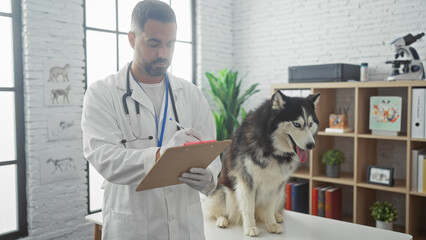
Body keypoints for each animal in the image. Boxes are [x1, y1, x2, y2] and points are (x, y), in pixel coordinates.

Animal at [203, 91, 320, 237]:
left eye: (310, 124)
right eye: (296, 124)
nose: (311, 145)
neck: (271, 148)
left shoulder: (275, 184)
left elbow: (269, 208)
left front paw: (271, 223)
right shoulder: (246, 181)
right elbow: (248, 208)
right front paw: (250, 227)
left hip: (281, 194)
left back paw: (277, 216)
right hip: (225, 192)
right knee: (217, 210)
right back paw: (222, 220)